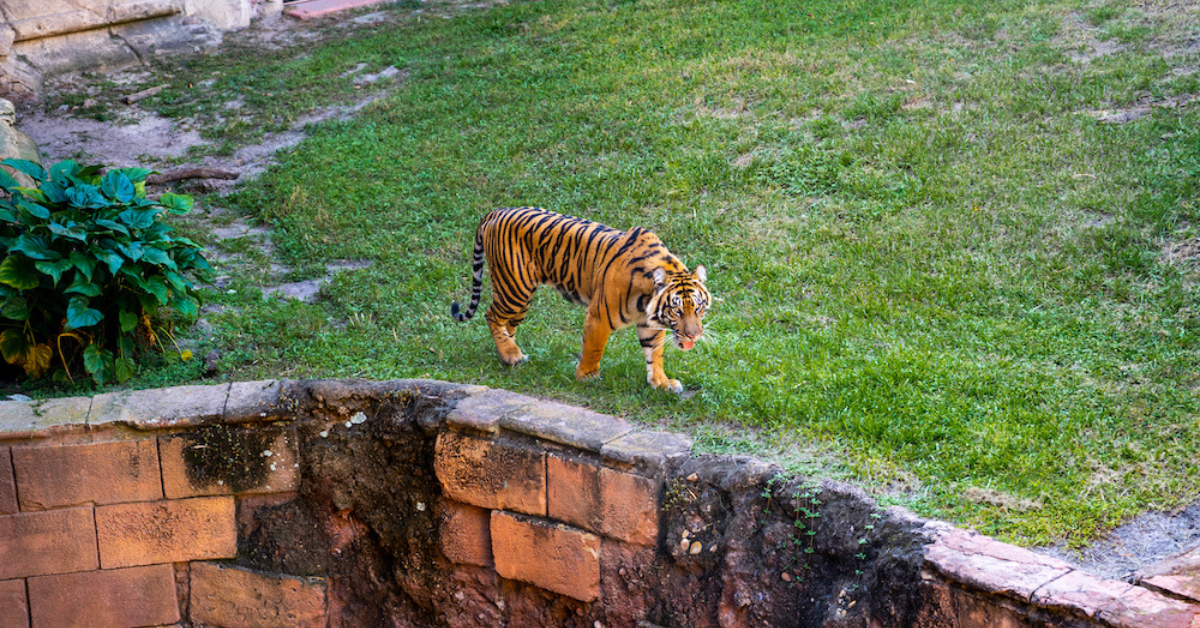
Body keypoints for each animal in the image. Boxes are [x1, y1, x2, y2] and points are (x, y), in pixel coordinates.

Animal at [453, 207, 705, 393]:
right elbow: (594, 348)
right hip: (514, 288)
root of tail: (496, 211)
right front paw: (587, 376)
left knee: (507, 325)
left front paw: (662, 383)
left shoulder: (649, 323)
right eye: (676, 310)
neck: (646, 299)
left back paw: (511, 354)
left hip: (520, 299)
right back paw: (511, 354)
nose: (694, 335)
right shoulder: (599, 315)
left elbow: (654, 354)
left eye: (698, 308)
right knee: (491, 315)